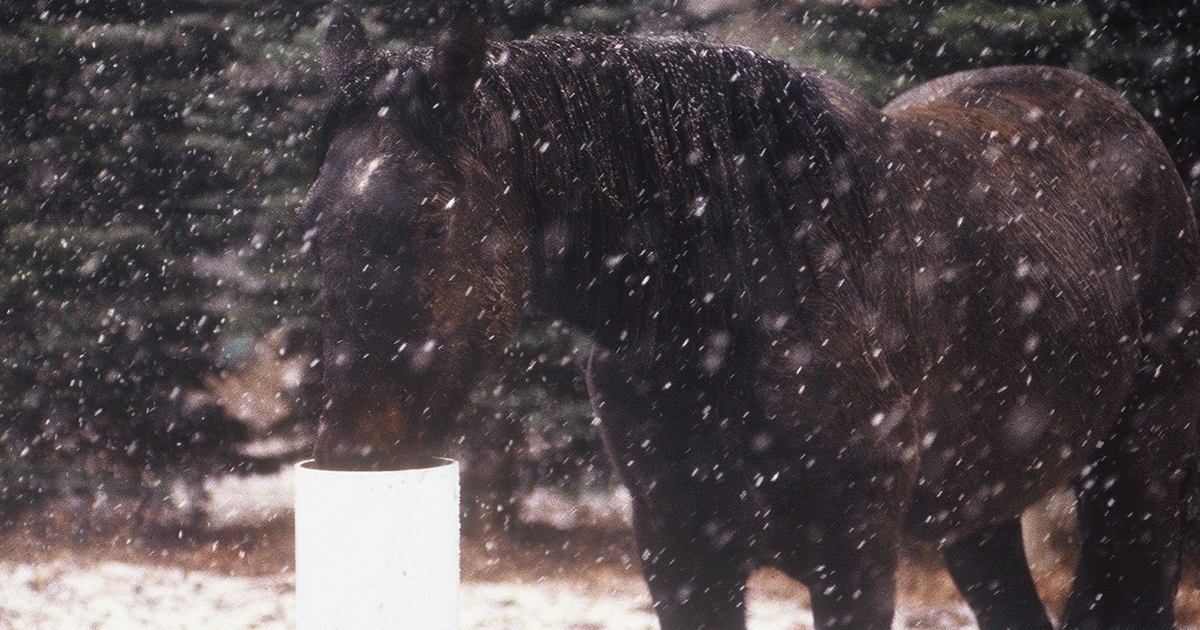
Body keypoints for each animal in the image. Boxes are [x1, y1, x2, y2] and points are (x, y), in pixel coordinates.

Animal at [301, 4, 1200, 629]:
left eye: (433, 222)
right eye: (313, 224)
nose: (353, 453)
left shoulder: (854, 563)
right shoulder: (680, 553)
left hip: (1137, 477)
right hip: (981, 509)